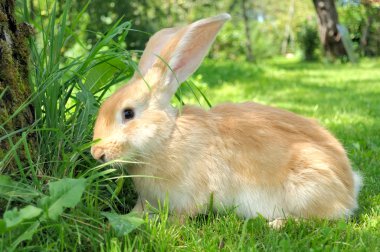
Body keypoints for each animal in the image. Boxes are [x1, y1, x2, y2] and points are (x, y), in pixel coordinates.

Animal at [91, 13, 362, 224]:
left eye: (128, 113)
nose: (97, 154)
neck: (166, 138)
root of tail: (350, 187)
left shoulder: (190, 195)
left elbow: (183, 215)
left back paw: (278, 223)